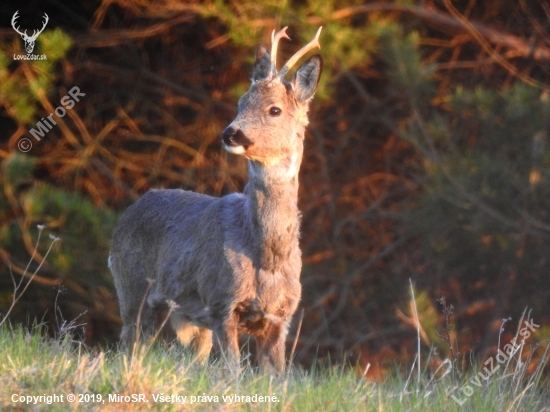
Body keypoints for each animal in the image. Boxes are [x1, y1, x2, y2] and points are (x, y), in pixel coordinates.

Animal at [109, 27, 324, 372]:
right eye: (241, 102)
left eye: (274, 109)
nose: (231, 133)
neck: (267, 256)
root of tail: (133, 207)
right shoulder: (222, 303)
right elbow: (232, 372)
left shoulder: (280, 318)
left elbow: (276, 375)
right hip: (132, 286)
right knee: (130, 345)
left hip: (188, 320)